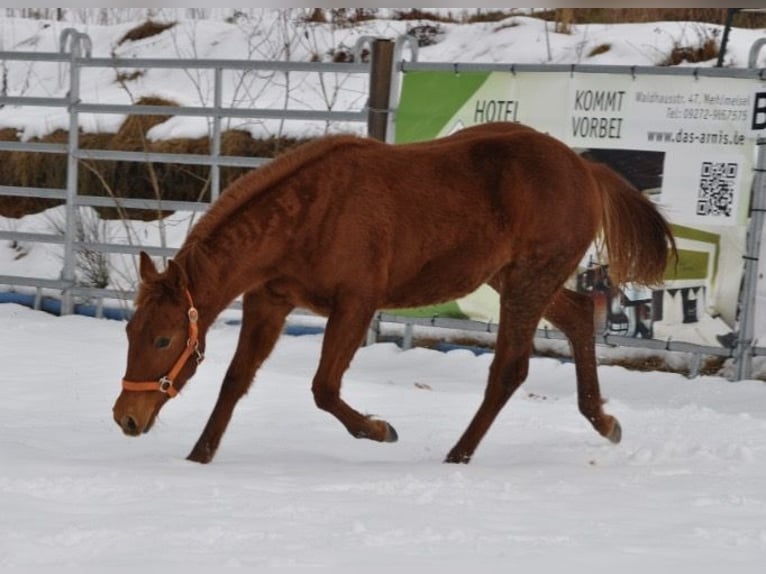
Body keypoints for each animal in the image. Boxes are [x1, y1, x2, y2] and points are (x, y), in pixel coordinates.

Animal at [112, 121, 676, 464]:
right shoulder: (270, 299)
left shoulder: (356, 304)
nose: (126, 418)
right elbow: (236, 379)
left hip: (528, 281)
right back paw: (604, 420)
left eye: (162, 340)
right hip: (515, 278)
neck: (310, 211)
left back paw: (459, 454)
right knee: (579, 316)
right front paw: (199, 455)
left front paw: (380, 429)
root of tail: (586, 168)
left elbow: (324, 387)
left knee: (509, 369)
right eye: (130, 331)